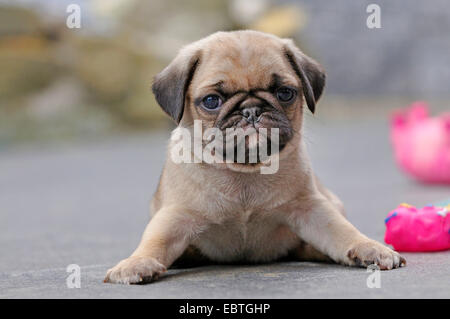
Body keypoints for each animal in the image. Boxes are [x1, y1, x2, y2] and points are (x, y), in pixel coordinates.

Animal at [103, 30, 406, 284]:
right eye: (211, 101)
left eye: (285, 93)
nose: (251, 110)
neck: (245, 173)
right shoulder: (175, 216)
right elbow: (154, 241)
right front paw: (136, 262)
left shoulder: (311, 208)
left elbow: (341, 230)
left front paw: (369, 247)